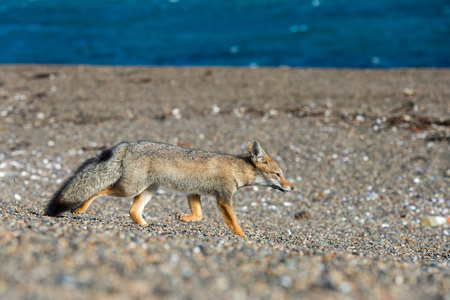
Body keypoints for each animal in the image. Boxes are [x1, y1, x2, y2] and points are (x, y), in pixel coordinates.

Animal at [44, 141, 292, 237]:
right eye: (278, 174)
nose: (291, 187)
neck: (236, 169)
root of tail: (128, 144)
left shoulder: (193, 192)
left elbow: (199, 216)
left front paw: (184, 218)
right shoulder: (223, 199)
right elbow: (235, 224)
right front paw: (243, 237)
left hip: (149, 189)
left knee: (133, 211)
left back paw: (146, 226)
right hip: (129, 188)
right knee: (97, 190)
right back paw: (80, 209)